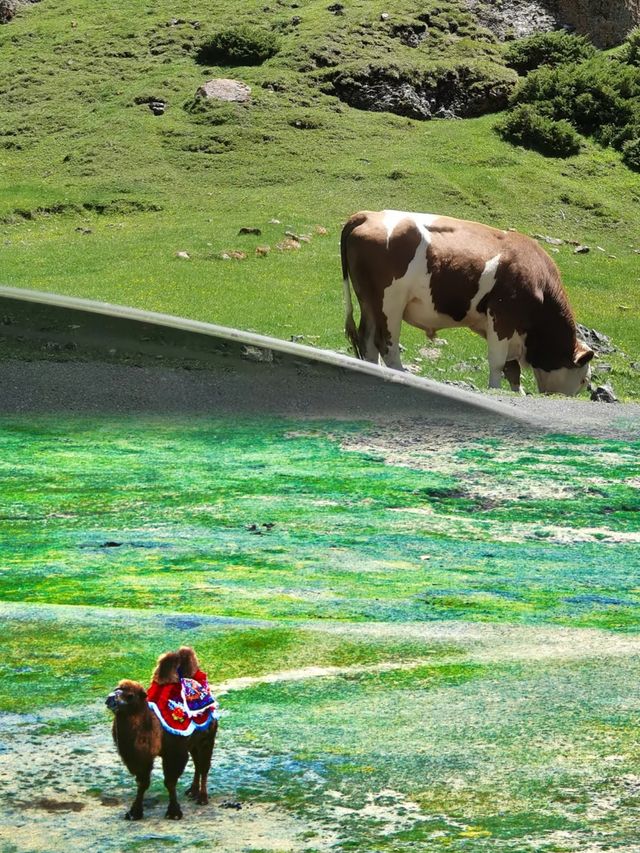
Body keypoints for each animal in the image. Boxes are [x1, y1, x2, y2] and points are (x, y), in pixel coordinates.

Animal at [340, 208, 596, 394]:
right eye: (584, 380)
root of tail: (367, 214)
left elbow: (512, 369)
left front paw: (518, 392)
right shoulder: (502, 318)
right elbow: (498, 362)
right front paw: (495, 389)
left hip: (369, 301)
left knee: (368, 341)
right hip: (390, 301)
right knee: (386, 343)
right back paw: (401, 372)